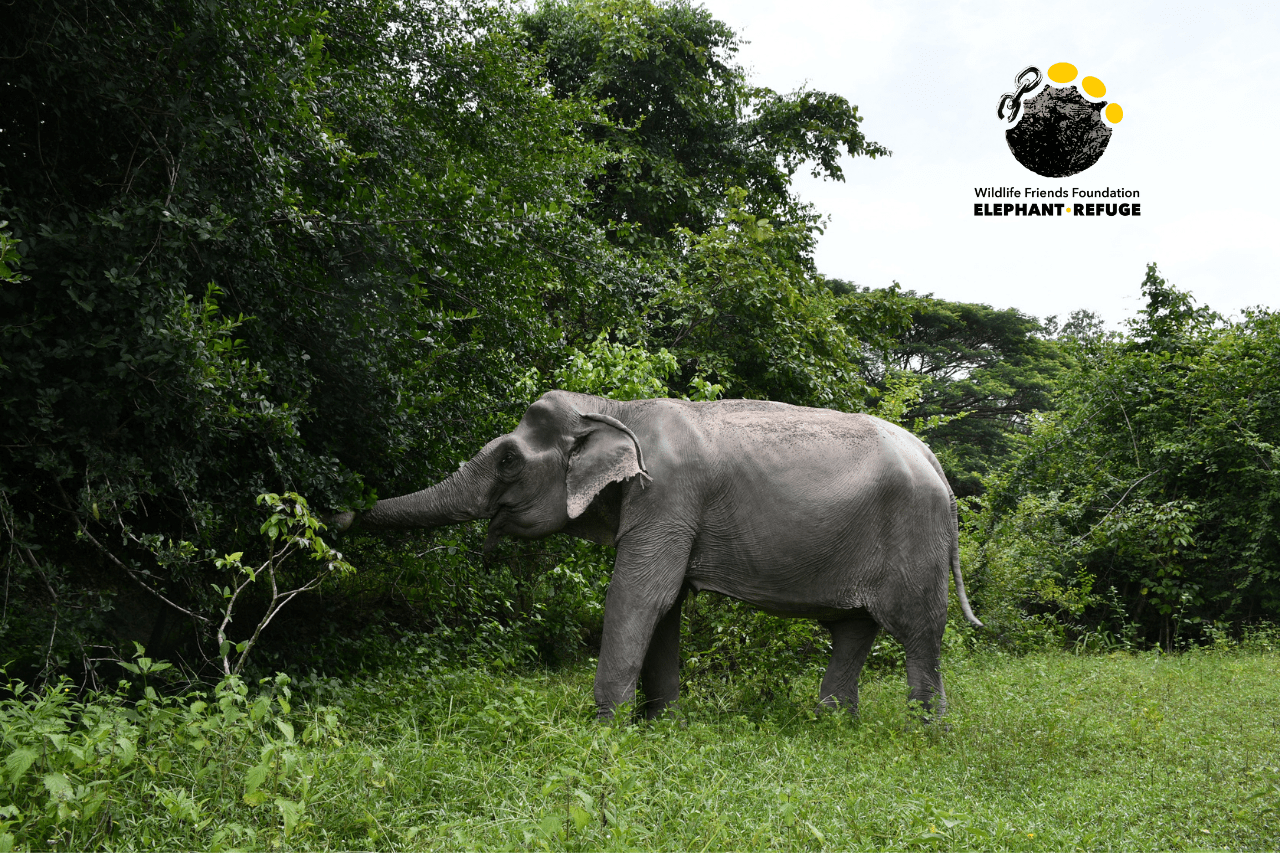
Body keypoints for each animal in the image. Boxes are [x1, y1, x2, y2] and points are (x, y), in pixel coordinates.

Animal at [331, 390, 982, 720]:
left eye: (510, 460)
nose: (336, 512)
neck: (616, 409)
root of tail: (934, 461)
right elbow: (667, 608)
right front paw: (661, 724)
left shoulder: (668, 493)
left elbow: (642, 593)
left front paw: (605, 732)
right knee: (852, 630)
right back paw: (831, 726)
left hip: (916, 537)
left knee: (918, 631)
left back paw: (922, 735)